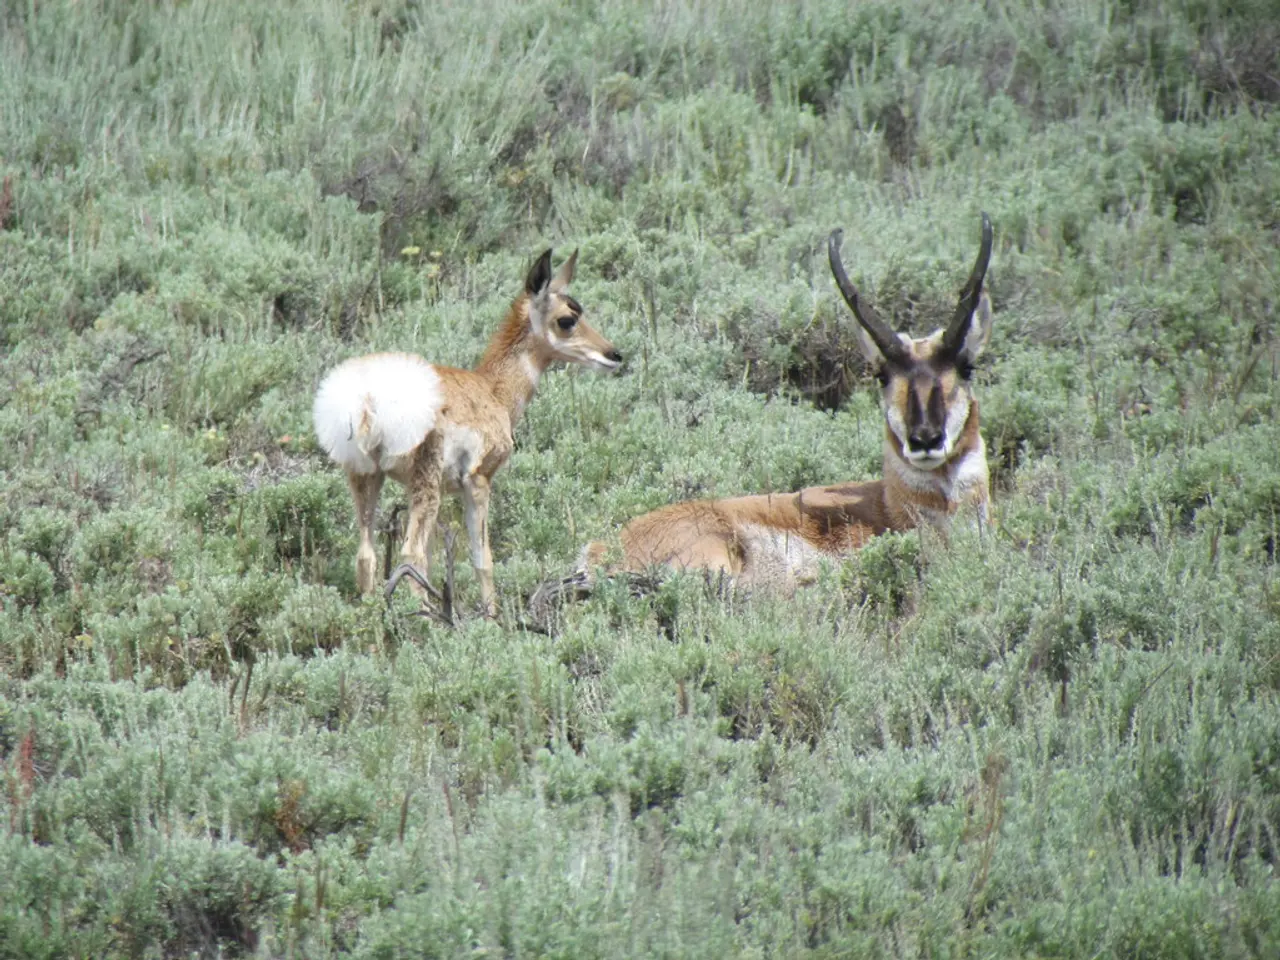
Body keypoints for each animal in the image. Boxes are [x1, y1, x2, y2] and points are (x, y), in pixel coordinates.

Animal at [313, 248, 622, 618]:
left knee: (367, 554)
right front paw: (491, 616)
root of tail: (367, 398)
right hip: (425, 486)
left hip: (367, 478)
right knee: (410, 554)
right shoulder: (478, 481)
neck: (492, 389)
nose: (615, 355)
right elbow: (482, 559)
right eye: (567, 319)